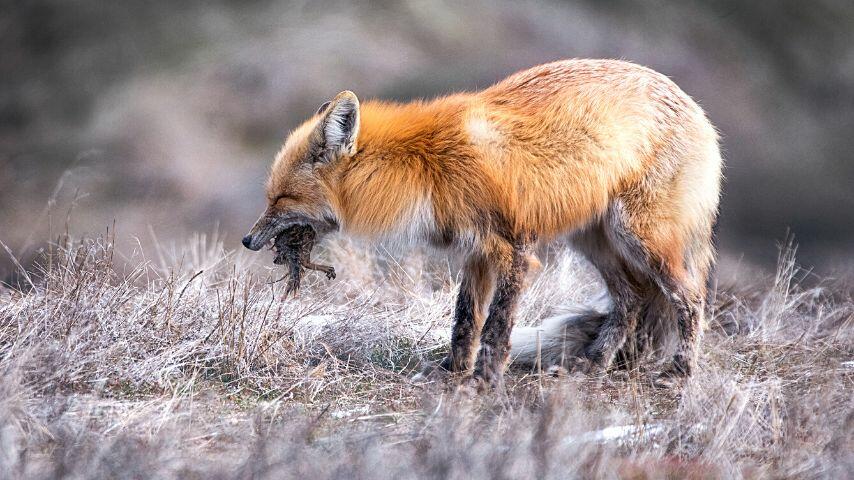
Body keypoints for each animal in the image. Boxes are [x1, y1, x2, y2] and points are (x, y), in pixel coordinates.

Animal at [244, 60, 724, 390]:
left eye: (281, 199)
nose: (248, 240)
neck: (427, 167)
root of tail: (698, 111)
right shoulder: (475, 251)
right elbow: (464, 320)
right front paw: (451, 372)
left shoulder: (513, 251)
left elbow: (496, 327)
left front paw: (485, 380)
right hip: (593, 240)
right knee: (631, 302)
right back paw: (593, 365)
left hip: (641, 238)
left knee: (691, 299)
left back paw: (681, 373)